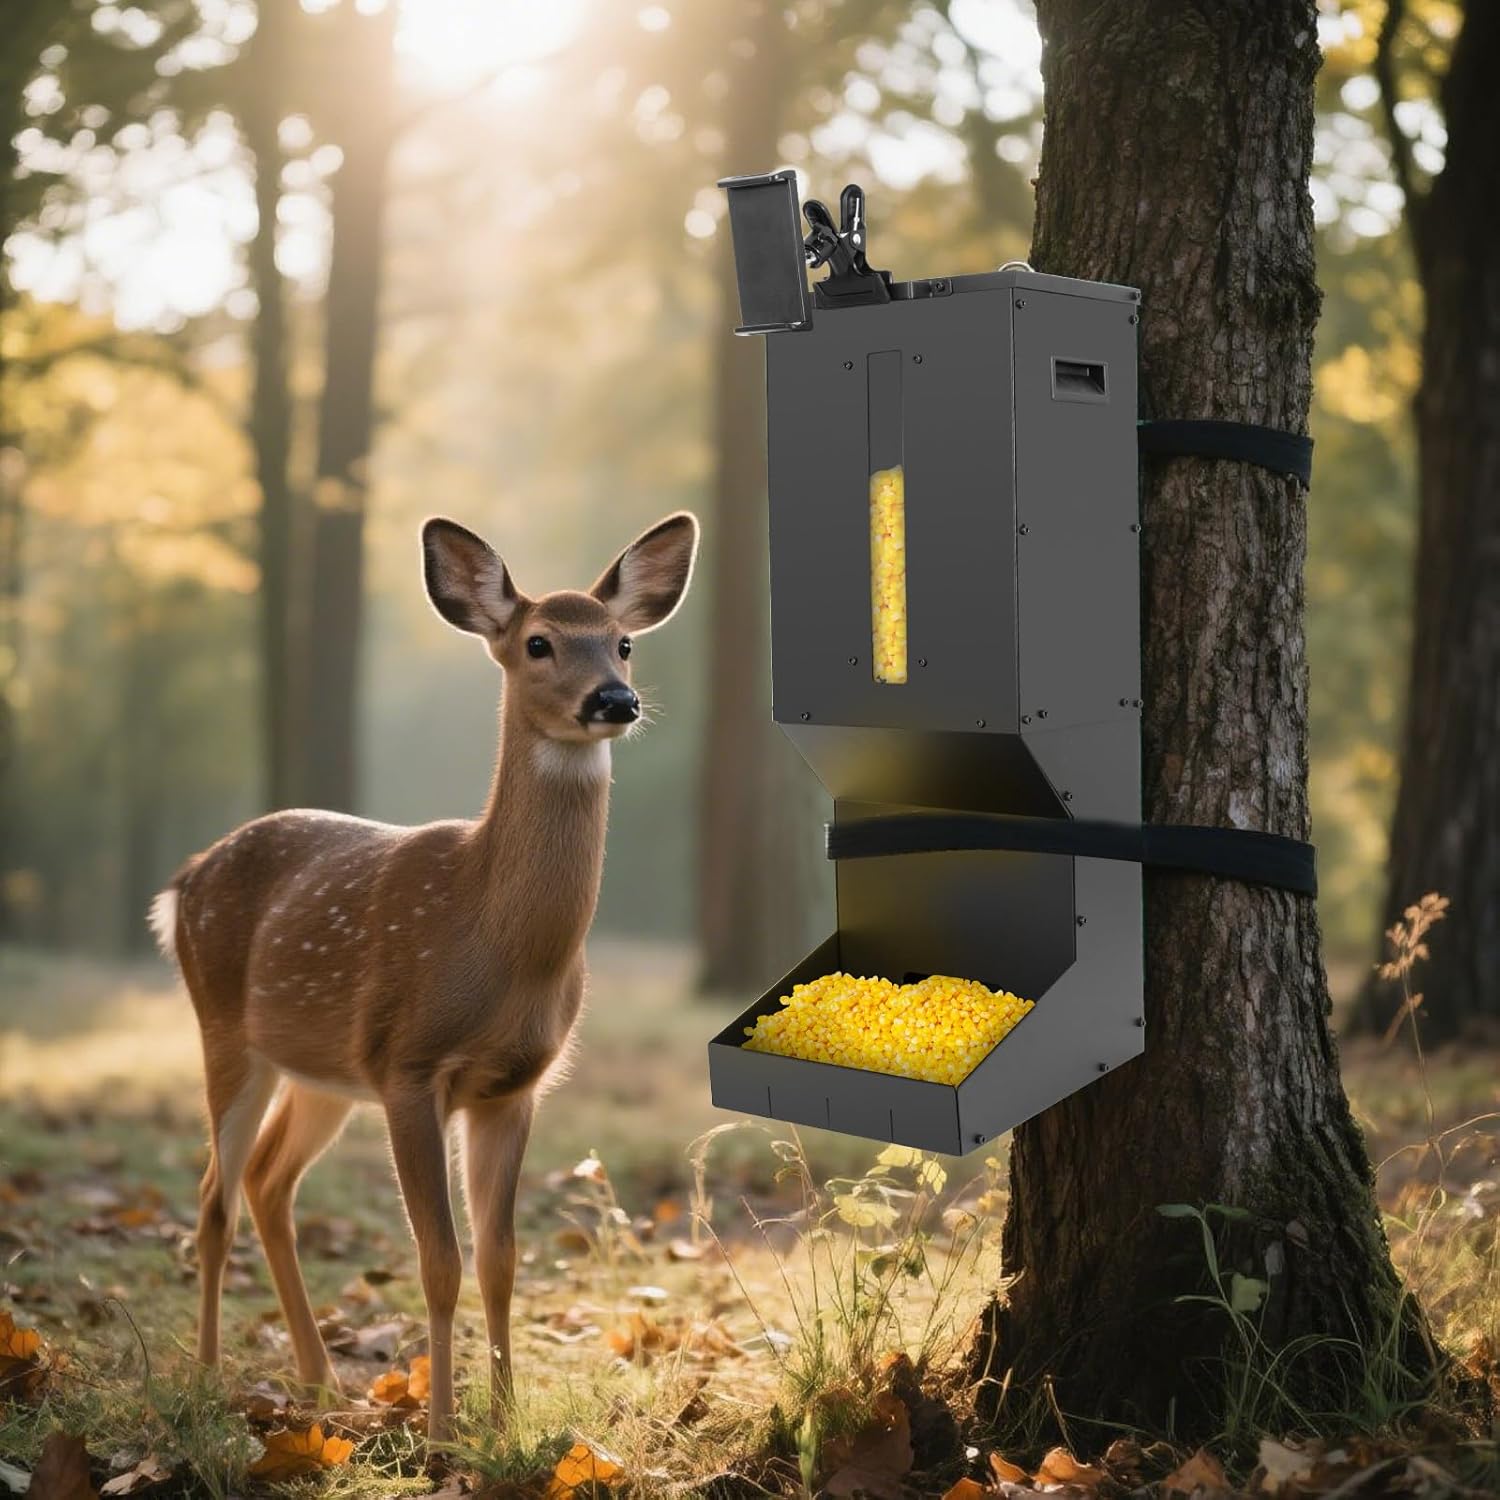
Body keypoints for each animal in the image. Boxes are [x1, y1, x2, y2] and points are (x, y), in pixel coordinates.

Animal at [148, 510, 699, 1441]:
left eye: (624, 644)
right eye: (540, 642)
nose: (614, 701)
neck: (498, 944)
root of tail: (181, 881)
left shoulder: (513, 1086)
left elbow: (501, 1258)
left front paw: (505, 1421)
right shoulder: (407, 1066)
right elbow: (437, 1259)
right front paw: (442, 1429)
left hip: (322, 1071)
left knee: (266, 1183)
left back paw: (317, 1382)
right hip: (224, 1026)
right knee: (215, 1196)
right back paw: (210, 1375)